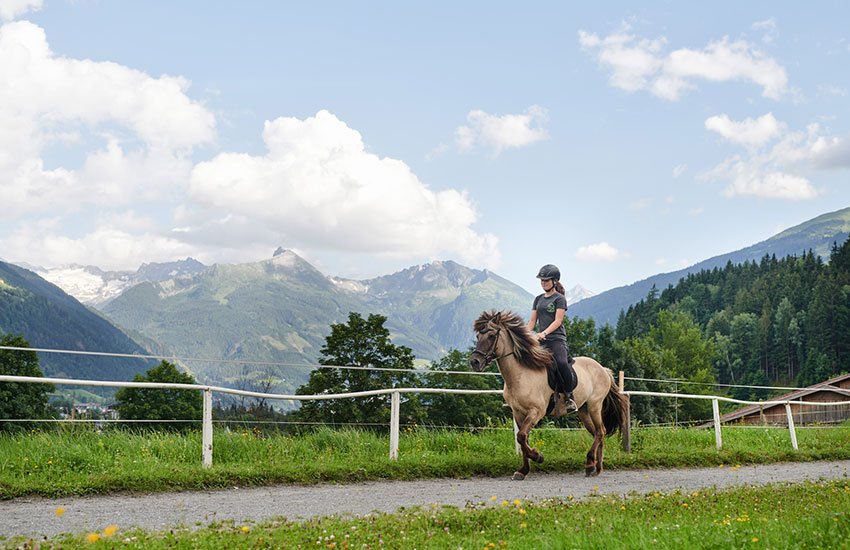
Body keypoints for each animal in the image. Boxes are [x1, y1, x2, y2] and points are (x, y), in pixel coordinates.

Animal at [469, 310, 628, 480]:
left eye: (492, 336)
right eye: (478, 336)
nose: (475, 362)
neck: (521, 374)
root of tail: (603, 369)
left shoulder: (536, 411)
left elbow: (521, 436)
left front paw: (538, 457)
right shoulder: (518, 413)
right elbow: (522, 439)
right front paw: (523, 470)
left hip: (594, 405)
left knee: (600, 431)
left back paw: (590, 464)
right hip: (584, 410)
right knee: (598, 433)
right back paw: (596, 467)